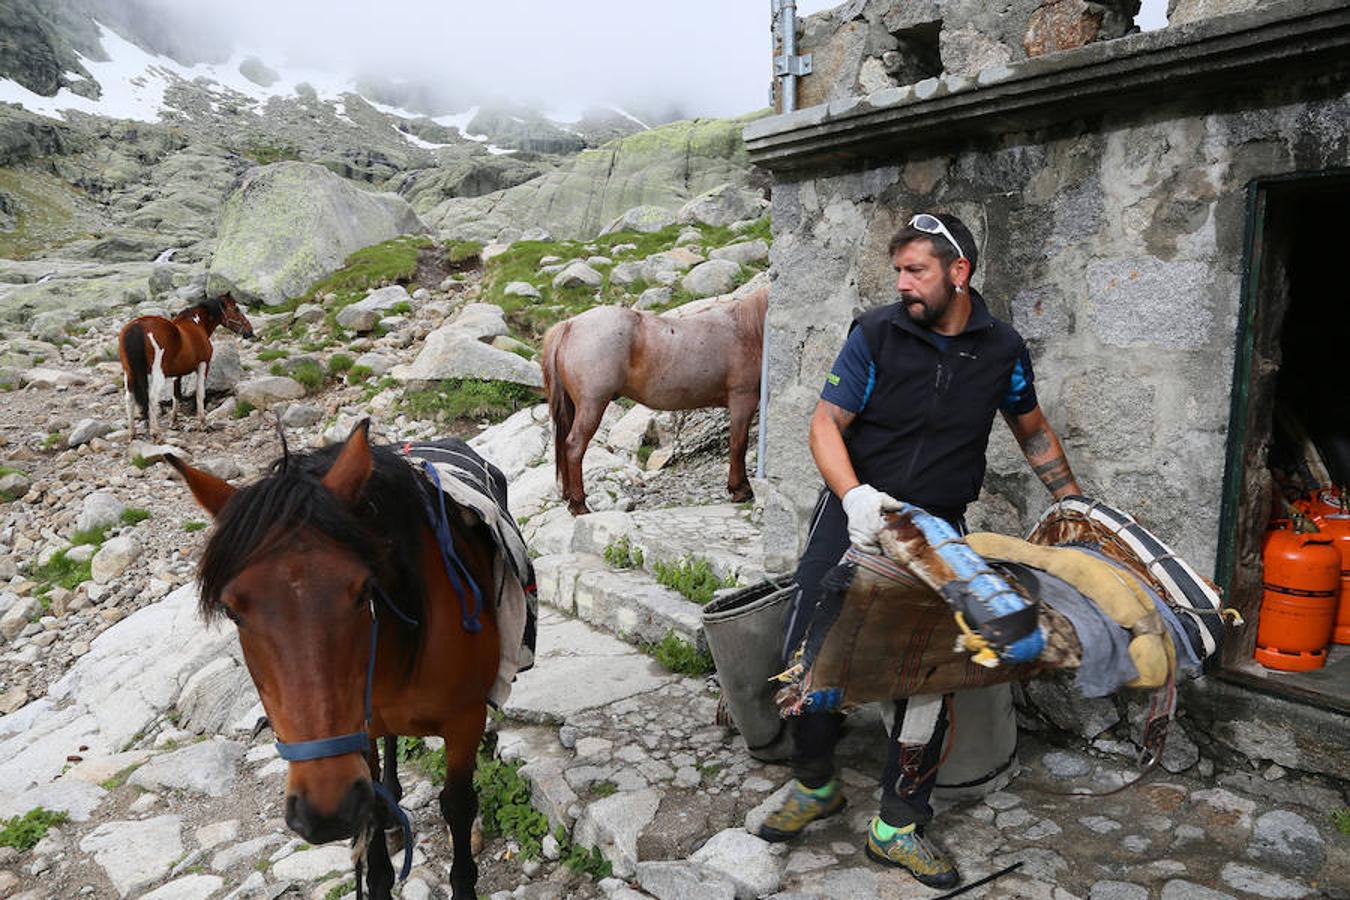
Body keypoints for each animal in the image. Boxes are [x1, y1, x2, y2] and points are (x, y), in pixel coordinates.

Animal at [120, 294, 253, 437]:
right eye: (236, 309)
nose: (250, 331)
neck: (197, 324)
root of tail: (137, 326)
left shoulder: (177, 373)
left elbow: (176, 395)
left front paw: (174, 423)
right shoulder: (203, 365)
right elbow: (200, 393)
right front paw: (203, 424)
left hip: (129, 374)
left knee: (129, 399)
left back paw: (132, 433)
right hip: (158, 374)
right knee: (152, 397)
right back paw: (155, 432)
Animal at [167, 423, 502, 900]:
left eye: (364, 590)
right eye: (232, 611)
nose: (326, 812)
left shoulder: (465, 720)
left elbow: (457, 804)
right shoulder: (359, 731)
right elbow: (374, 819)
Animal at [540, 284, 772, 518]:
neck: (747, 329)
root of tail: (569, 325)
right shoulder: (743, 399)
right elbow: (739, 444)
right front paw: (740, 489)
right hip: (592, 404)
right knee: (574, 446)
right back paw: (579, 505)